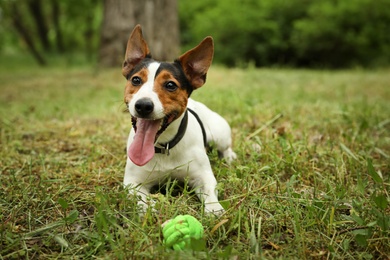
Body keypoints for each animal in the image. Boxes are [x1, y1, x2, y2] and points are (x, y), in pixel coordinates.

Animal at [123, 24, 236, 215]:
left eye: (170, 85)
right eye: (136, 80)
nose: (143, 105)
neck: (164, 146)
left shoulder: (203, 176)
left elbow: (209, 191)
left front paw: (214, 210)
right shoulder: (132, 182)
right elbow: (139, 199)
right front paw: (149, 208)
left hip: (219, 135)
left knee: (225, 148)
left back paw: (230, 157)